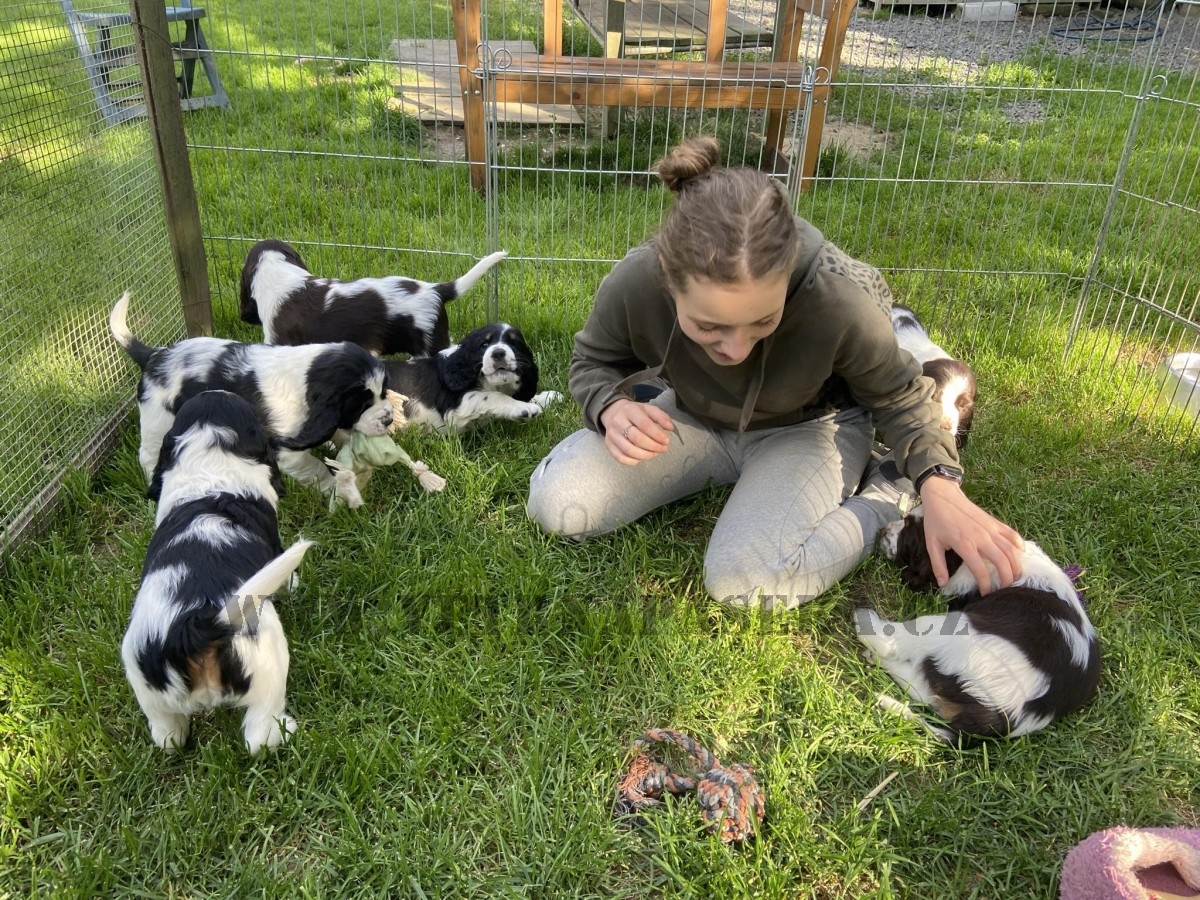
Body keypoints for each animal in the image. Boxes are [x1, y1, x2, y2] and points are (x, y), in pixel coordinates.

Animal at [110, 292, 393, 496]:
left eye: (383, 392)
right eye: (360, 405)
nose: (389, 419)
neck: (306, 377)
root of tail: (153, 356)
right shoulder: (287, 452)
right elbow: (316, 468)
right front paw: (337, 487)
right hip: (158, 420)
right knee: (148, 454)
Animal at [122, 391, 313, 753]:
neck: (209, 467)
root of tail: (193, 626)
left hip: (145, 681)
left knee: (167, 735)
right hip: (267, 662)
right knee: (258, 736)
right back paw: (287, 731)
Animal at [382, 322, 561, 433]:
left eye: (514, 344)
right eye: (484, 344)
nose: (498, 353)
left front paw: (549, 396)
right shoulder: (456, 408)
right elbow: (493, 396)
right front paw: (524, 408)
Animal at [856, 505, 1101, 745]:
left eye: (908, 526)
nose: (882, 530)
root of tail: (1007, 716)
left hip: (955, 630)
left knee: (898, 644)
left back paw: (864, 619)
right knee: (924, 688)